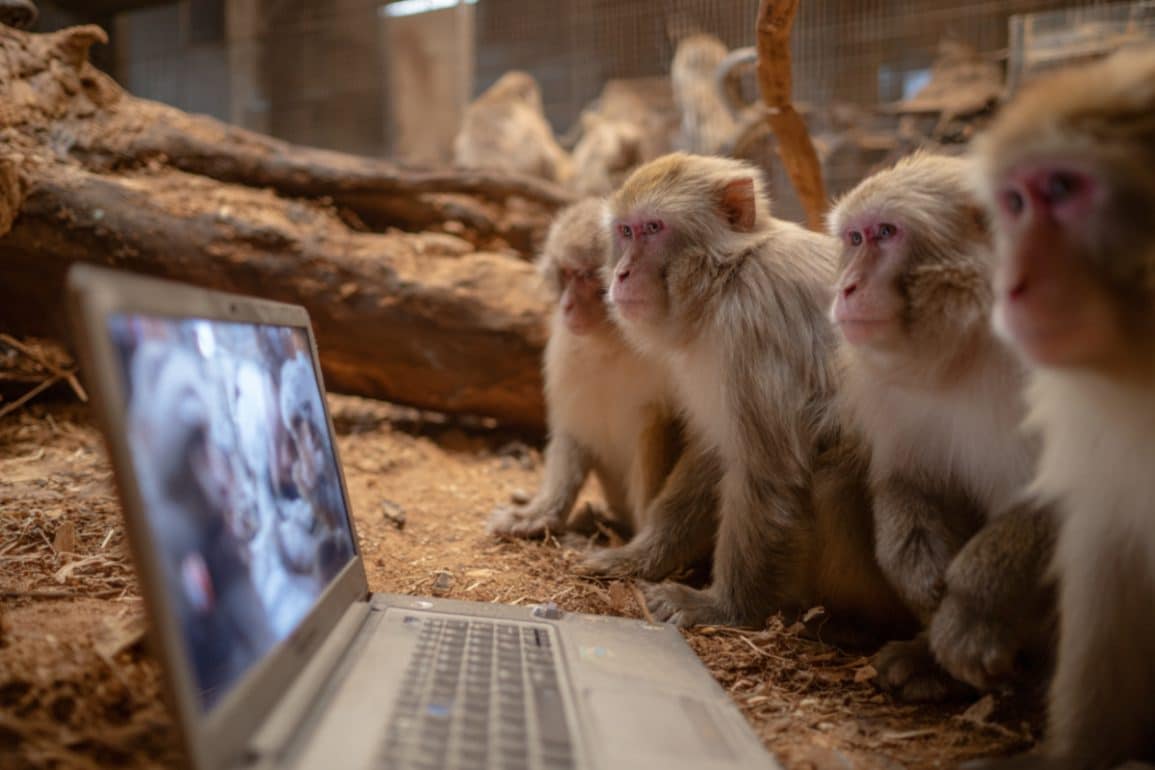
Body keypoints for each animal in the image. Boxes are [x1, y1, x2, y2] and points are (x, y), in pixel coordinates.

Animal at [605, 152, 915, 637]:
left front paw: (722, 608)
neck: (727, 274)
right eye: (624, 231)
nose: (621, 273)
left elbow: (767, 469)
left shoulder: (752, 321)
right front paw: (641, 554)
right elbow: (715, 451)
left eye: (652, 229)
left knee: (836, 461)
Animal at [827, 151, 1057, 702]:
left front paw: (970, 604)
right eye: (854, 239)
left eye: (886, 232)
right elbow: (907, 479)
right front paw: (919, 577)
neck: (974, 341)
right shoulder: (882, 383)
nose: (846, 287)